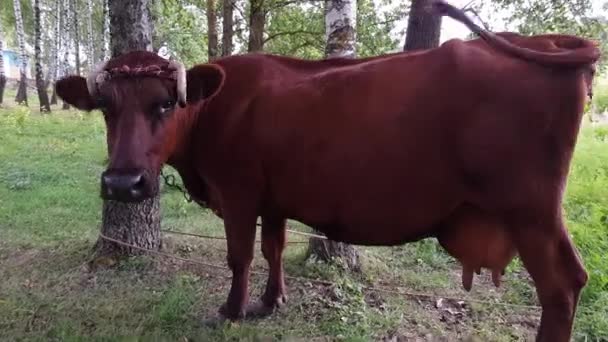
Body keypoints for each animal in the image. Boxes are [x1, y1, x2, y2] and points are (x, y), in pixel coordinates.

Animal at [55, 2, 600, 340]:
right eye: (105, 107)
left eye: (166, 104)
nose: (122, 183)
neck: (215, 112)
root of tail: (548, 43)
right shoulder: (273, 198)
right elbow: (273, 249)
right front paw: (271, 301)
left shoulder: (239, 193)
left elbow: (239, 256)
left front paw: (231, 311)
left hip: (531, 209)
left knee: (562, 284)